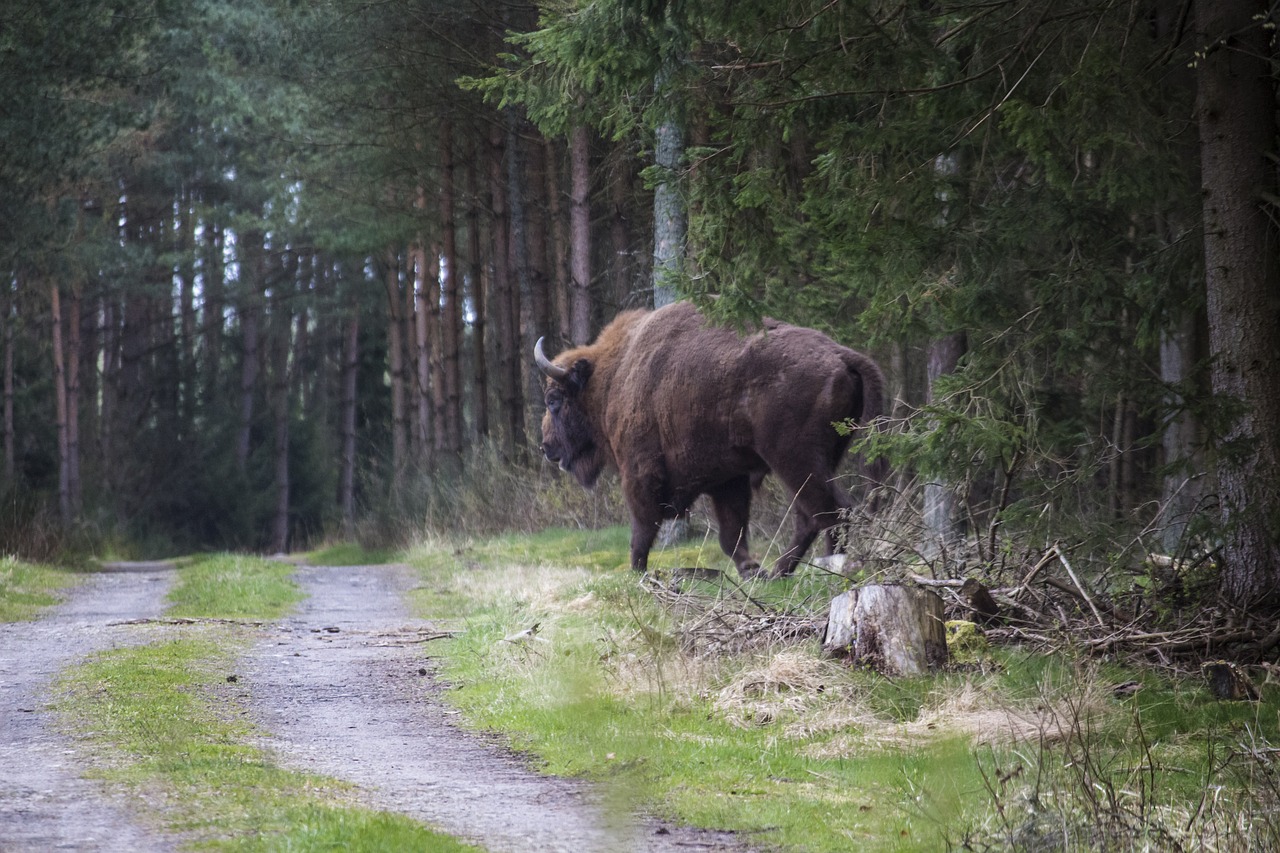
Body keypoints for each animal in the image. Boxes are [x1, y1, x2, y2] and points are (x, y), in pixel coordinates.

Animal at [535, 300, 885, 578]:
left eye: (553, 400)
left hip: (794, 460)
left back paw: (823, 569)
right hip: (821, 459)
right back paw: (777, 572)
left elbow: (642, 529)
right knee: (811, 516)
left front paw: (637, 573)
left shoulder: (639, 473)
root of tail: (840, 354)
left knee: (830, 510)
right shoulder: (727, 479)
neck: (612, 378)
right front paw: (750, 571)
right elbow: (731, 534)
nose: (546, 446)